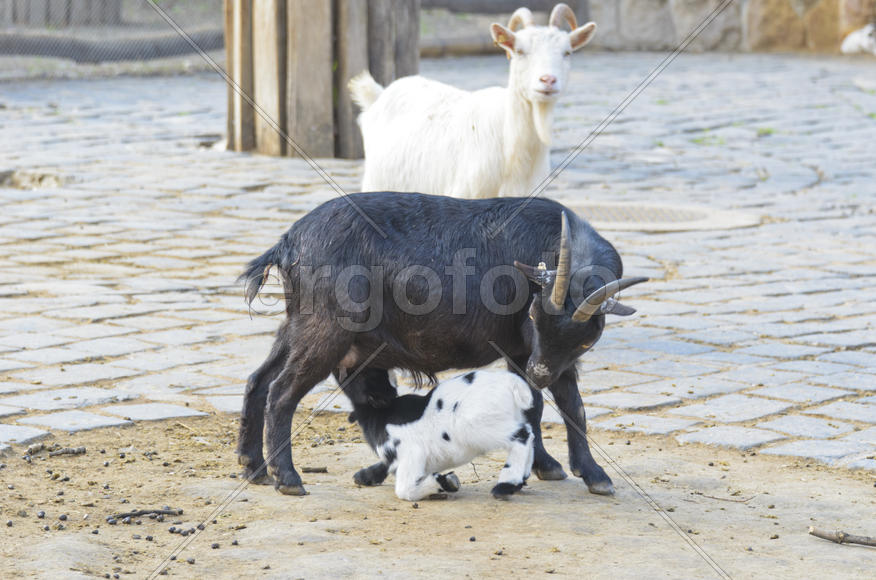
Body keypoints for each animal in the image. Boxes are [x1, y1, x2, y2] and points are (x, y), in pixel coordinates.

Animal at [348, 370, 534, 501]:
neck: (381, 413)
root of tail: (511, 382)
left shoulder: (411, 451)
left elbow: (404, 489)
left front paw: (444, 481)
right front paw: (364, 476)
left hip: (476, 425)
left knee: (522, 434)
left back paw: (505, 486)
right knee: (530, 432)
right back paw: (521, 479)